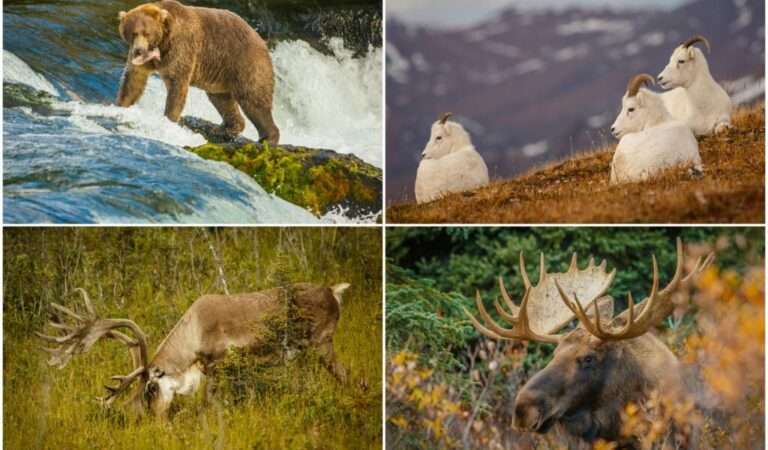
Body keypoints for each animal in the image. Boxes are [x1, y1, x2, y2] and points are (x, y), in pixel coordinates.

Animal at [36, 282, 351, 418]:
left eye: (151, 388)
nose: (153, 420)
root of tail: (334, 291)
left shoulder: (219, 364)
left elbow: (209, 405)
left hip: (321, 343)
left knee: (349, 377)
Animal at [116, 0, 280, 144]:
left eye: (147, 33)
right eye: (133, 33)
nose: (139, 50)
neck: (161, 44)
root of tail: (263, 42)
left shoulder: (181, 48)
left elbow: (177, 86)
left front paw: (168, 120)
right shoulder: (144, 61)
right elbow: (133, 81)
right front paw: (121, 105)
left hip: (245, 63)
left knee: (254, 100)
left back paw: (268, 138)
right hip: (219, 76)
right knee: (222, 100)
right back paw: (223, 129)